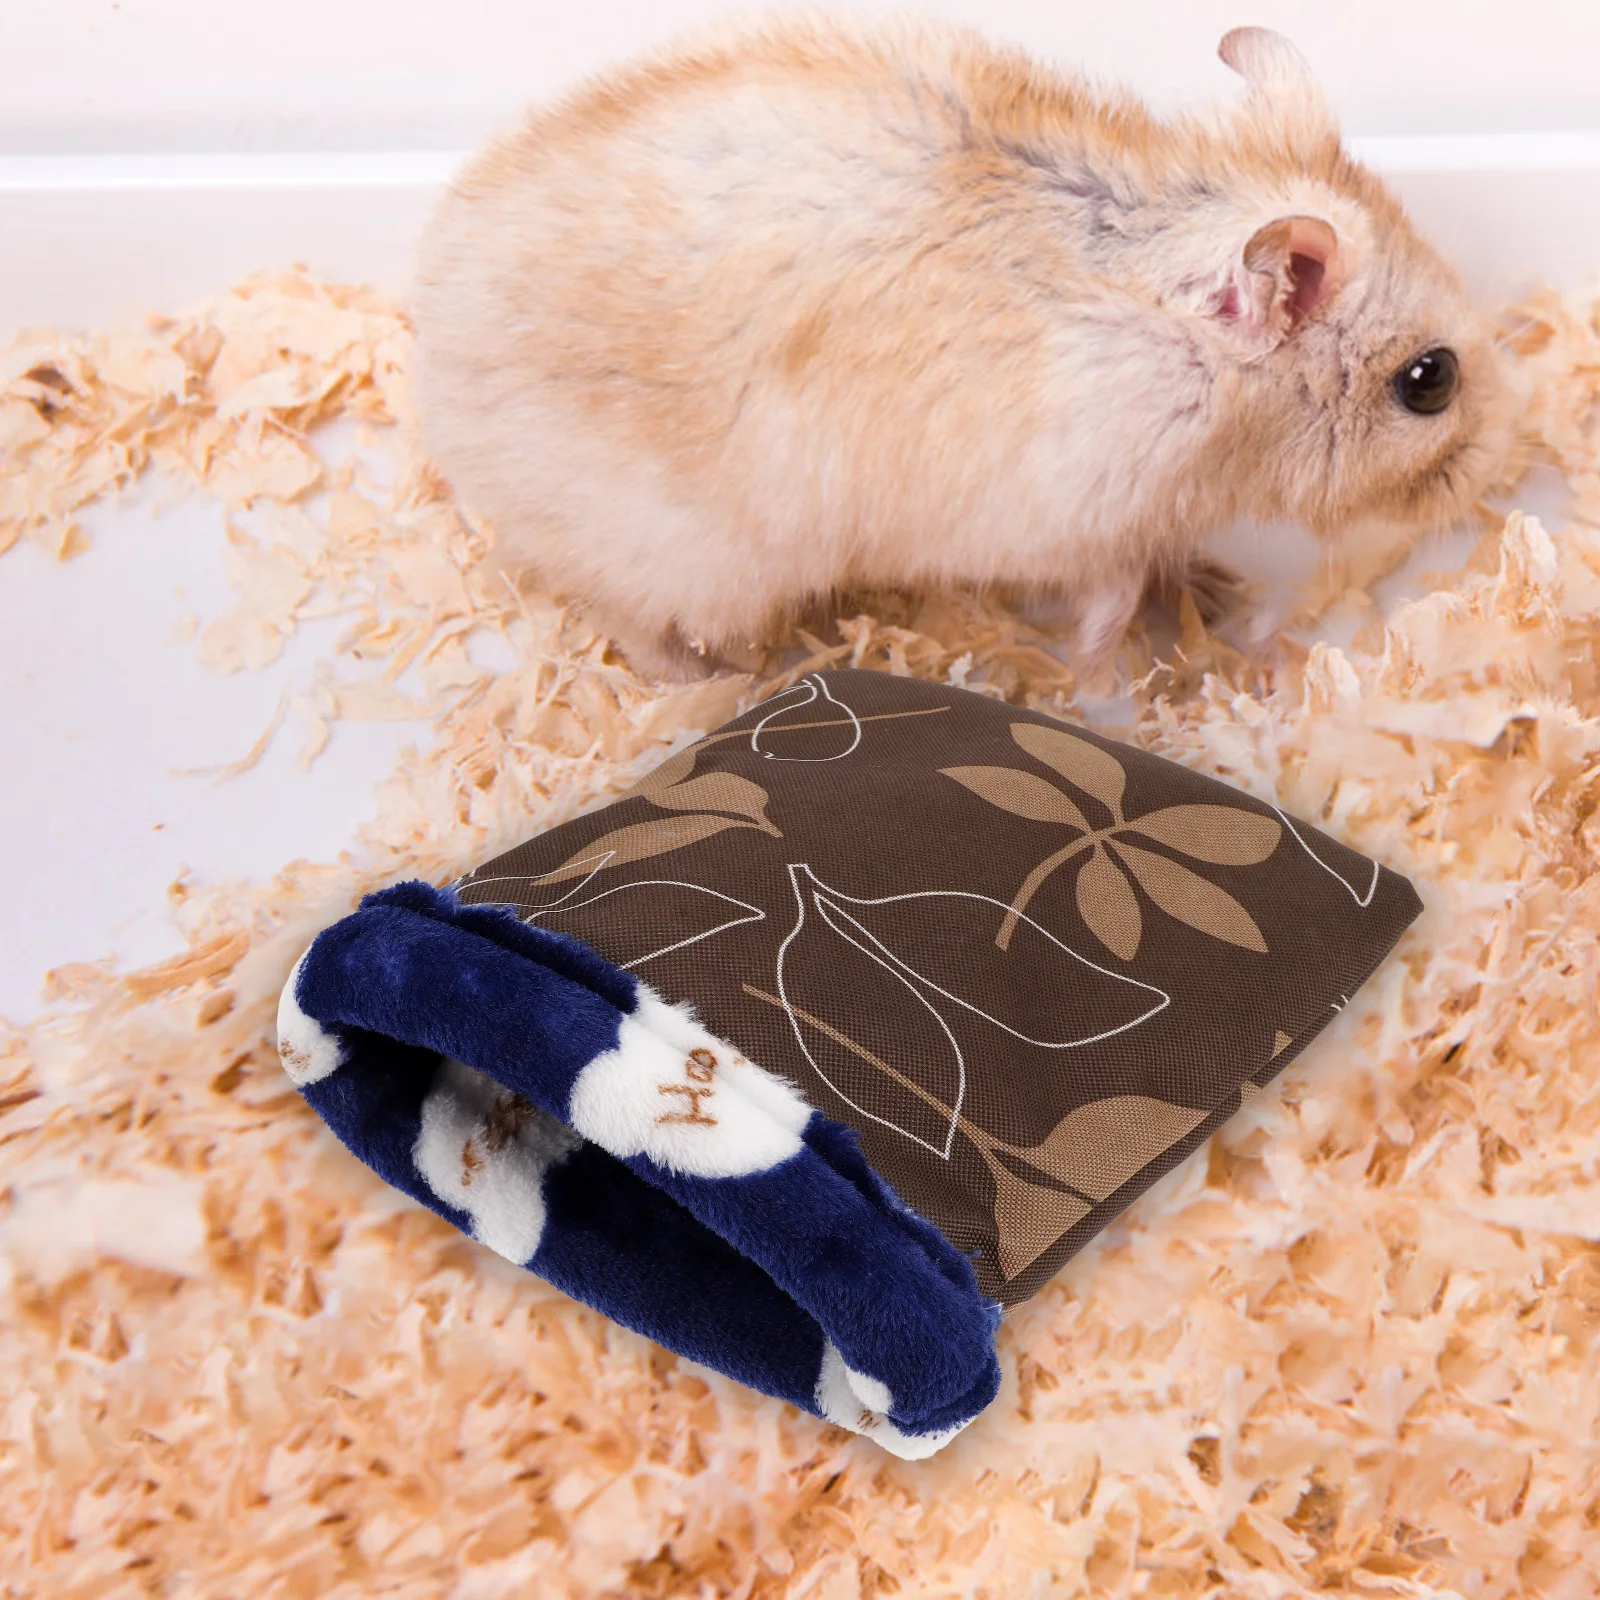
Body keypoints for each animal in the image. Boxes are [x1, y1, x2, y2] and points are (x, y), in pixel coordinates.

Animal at [413, 16, 1513, 676]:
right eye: (1429, 381)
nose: (1502, 460)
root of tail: (429, 335)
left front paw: (1213, 594)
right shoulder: (1072, 522)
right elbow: (1112, 589)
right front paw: (1089, 664)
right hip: (682, 561)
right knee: (631, 627)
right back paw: (725, 677)